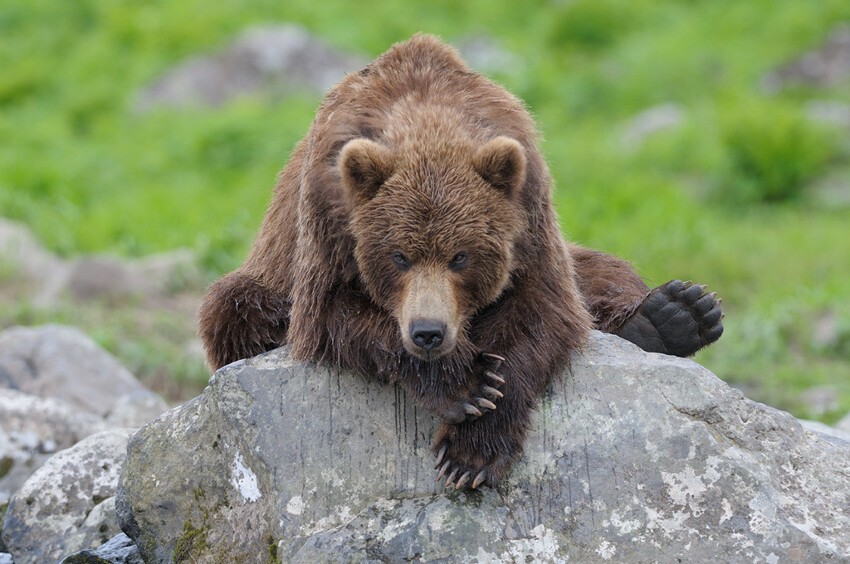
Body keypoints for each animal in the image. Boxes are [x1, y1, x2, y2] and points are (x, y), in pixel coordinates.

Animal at [199, 34, 724, 490]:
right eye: (399, 256)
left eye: (461, 256)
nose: (428, 332)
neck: (426, 116)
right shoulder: (329, 219)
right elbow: (333, 313)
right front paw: (466, 384)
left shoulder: (528, 213)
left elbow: (543, 311)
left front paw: (472, 449)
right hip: (267, 271)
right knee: (235, 305)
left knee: (602, 270)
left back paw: (675, 314)